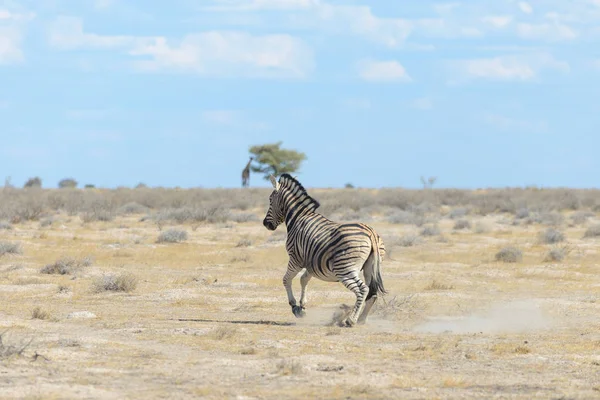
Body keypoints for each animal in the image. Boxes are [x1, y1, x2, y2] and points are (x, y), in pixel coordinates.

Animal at [264, 173, 390, 326]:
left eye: (270, 200)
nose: (266, 224)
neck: (298, 218)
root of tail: (370, 232)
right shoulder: (311, 261)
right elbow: (304, 279)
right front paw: (302, 307)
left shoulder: (295, 258)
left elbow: (286, 279)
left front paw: (294, 306)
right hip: (369, 268)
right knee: (373, 293)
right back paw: (361, 319)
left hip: (345, 269)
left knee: (363, 290)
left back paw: (351, 320)